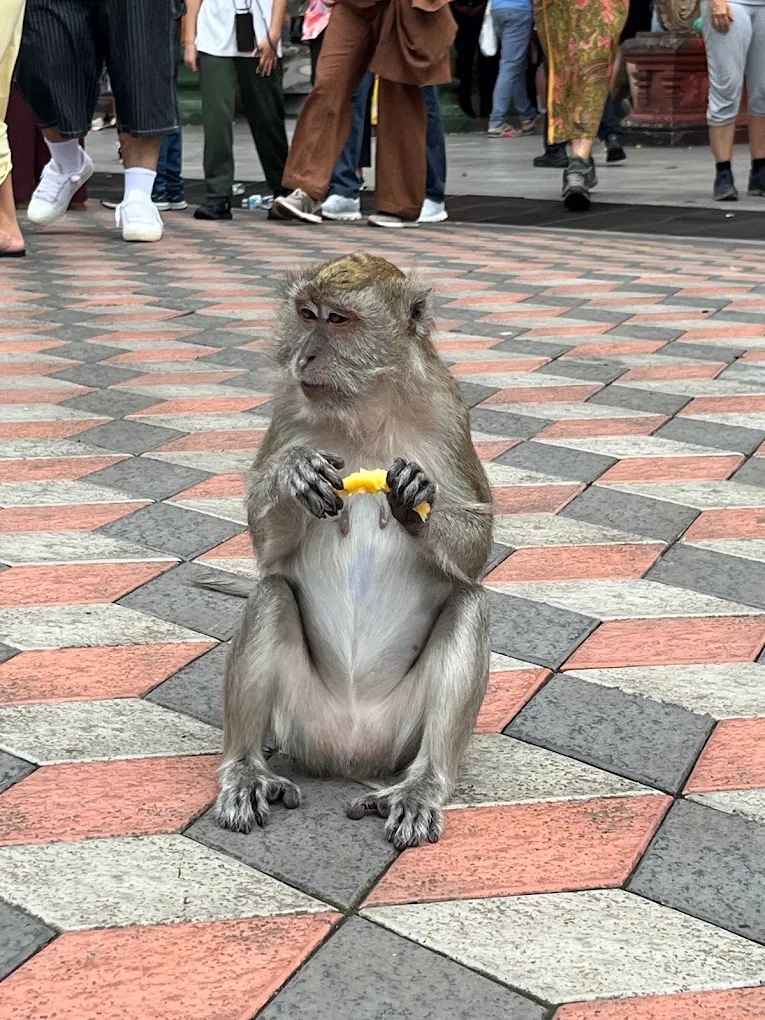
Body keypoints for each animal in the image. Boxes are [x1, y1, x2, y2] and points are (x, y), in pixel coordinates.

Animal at [204, 253, 493, 849]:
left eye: (338, 320)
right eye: (306, 314)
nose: (304, 356)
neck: (366, 409)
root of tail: (349, 753)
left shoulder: (448, 411)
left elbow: (477, 549)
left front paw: (416, 495)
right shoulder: (289, 409)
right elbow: (268, 552)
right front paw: (294, 474)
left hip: (399, 734)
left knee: (470, 602)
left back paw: (424, 785)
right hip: (301, 722)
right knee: (270, 593)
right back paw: (245, 770)